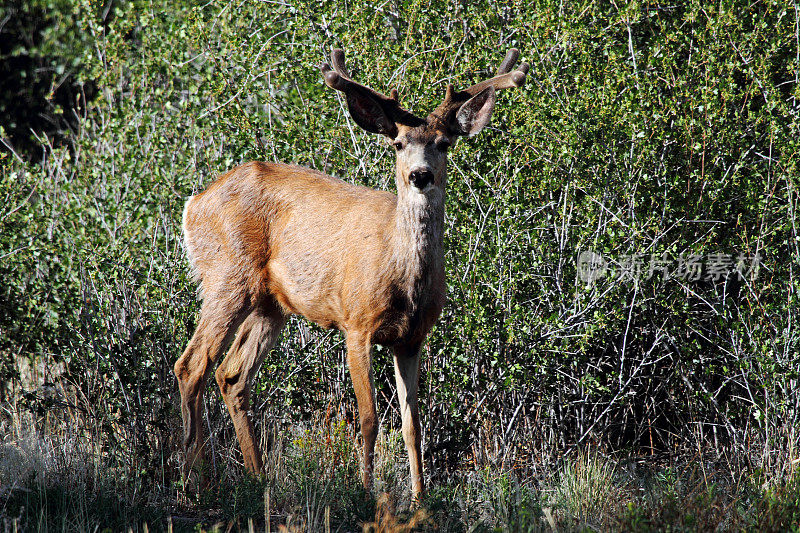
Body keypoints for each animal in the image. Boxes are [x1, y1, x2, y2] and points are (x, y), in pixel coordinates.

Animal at [174, 46, 524, 498]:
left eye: (444, 143)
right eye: (398, 144)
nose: (420, 175)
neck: (403, 276)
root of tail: (193, 204)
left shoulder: (412, 338)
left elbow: (413, 425)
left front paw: (420, 496)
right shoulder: (356, 322)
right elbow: (369, 417)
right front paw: (365, 489)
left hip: (271, 305)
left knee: (231, 374)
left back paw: (257, 477)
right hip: (226, 276)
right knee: (192, 365)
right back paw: (195, 478)